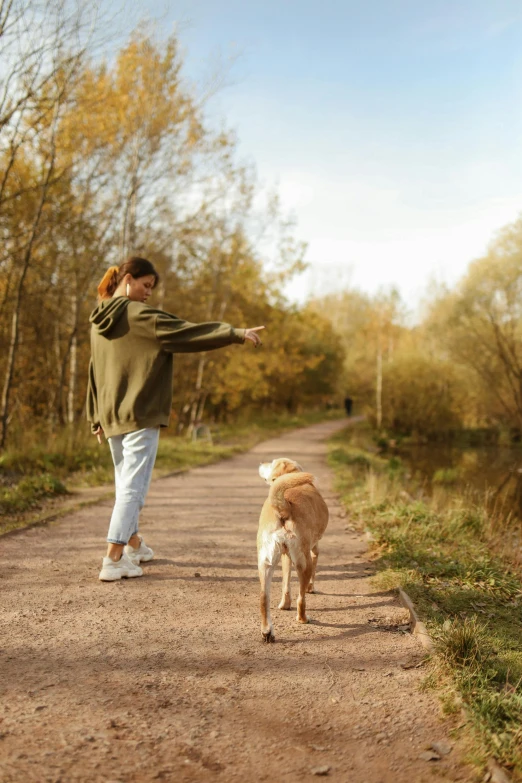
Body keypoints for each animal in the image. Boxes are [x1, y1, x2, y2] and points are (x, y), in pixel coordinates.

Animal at [258, 460, 328, 644]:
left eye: (271, 462)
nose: (262, 463)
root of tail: (284, 505)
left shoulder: (285, 556)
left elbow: (286, 582)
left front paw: (284, 604)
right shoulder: (314, 548)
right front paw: (311, 588)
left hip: (265, 564)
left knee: (263, 599)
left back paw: (267, 632)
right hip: (304, 562)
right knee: (301, 599)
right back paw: (303, 618)